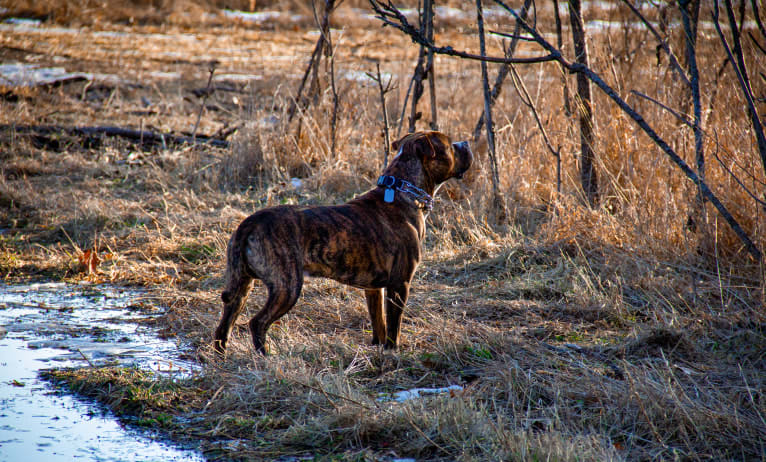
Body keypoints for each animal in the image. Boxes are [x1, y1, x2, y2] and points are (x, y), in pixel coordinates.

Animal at [213, 130, 472, 354]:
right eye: (450, 146)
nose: (466, 143)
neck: (402, 191)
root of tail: (250, 223)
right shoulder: (400, 284)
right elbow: (393, 326)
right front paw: (393, 351)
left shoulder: (374, 288)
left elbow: (379, 322)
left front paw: (378, 350)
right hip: (287, 287)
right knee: (258, 323)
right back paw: (264, 356)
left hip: (242, 285)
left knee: (224, 324)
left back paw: (221, 356)